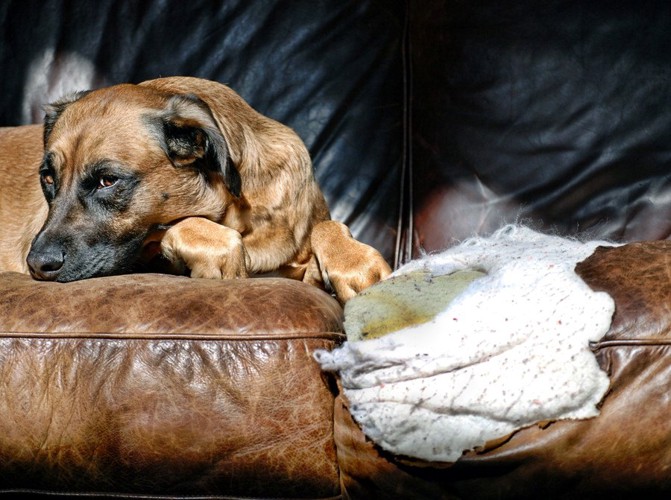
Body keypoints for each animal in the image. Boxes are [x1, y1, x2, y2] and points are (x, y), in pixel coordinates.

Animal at [0, 76, 392, 302]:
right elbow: (193, 230)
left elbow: (328, 226)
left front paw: (353, 263)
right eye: (47, 178)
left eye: (107, 181)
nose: (36, 265)